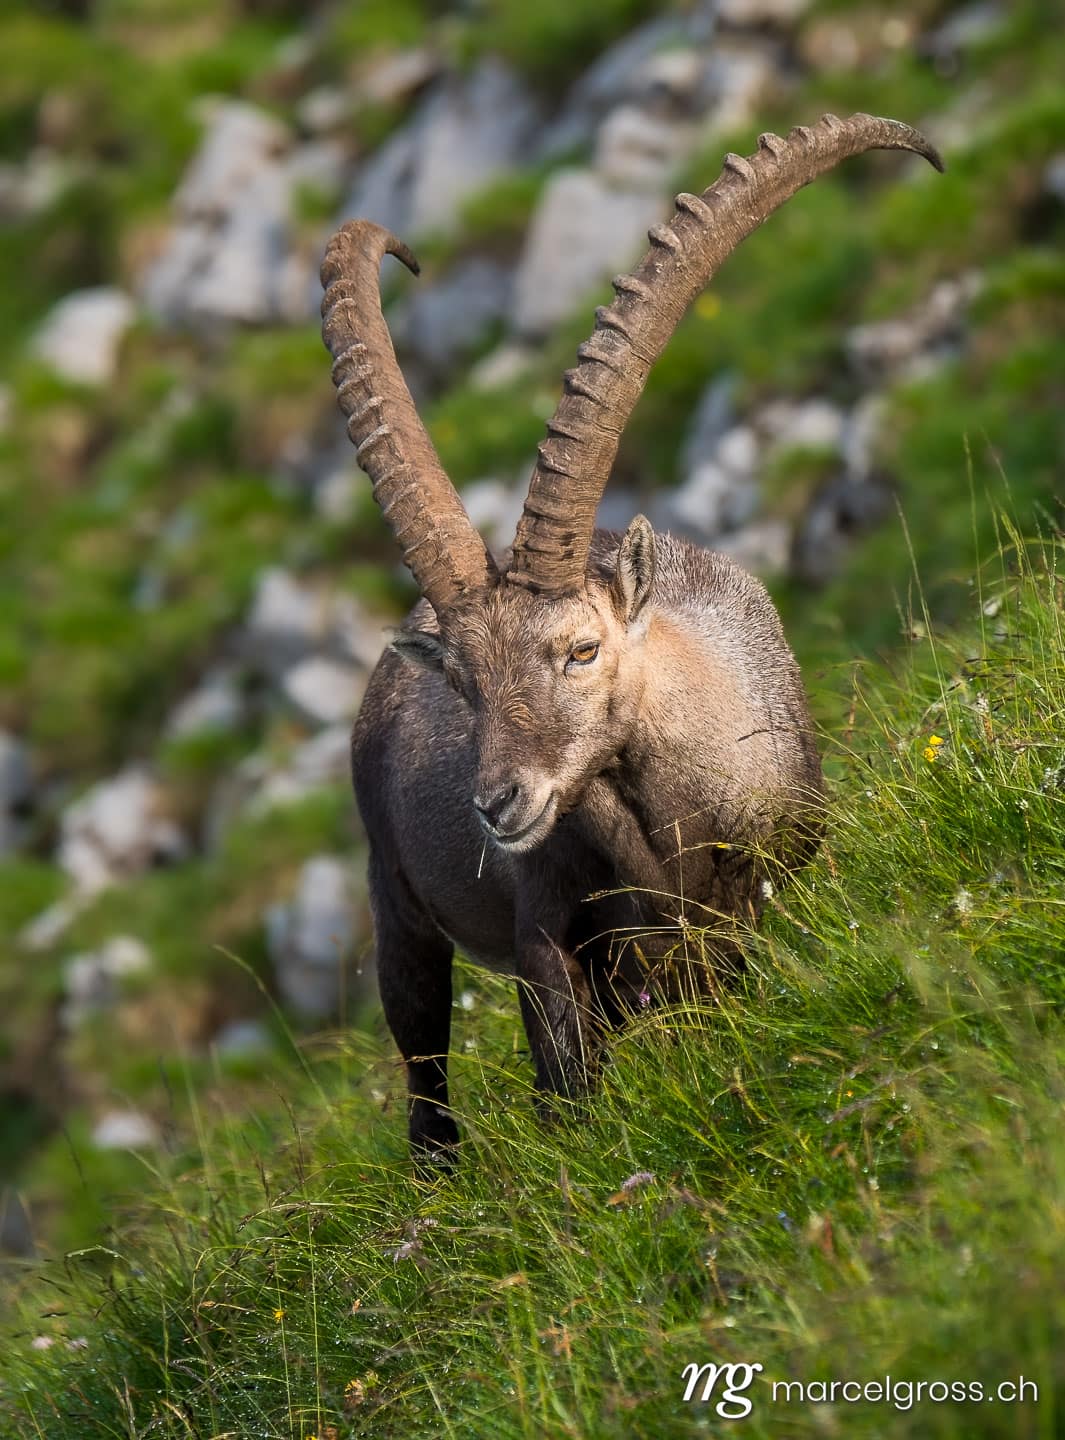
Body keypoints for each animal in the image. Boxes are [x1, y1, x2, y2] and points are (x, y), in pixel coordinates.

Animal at [320, 113, 944, 1163]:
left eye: (582, 648)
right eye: (462, 685)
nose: (500, 803)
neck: (662, 830)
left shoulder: (772, 883)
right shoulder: (545, 932)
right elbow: (564, 1084)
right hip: (397, 905)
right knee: (425, 1073)